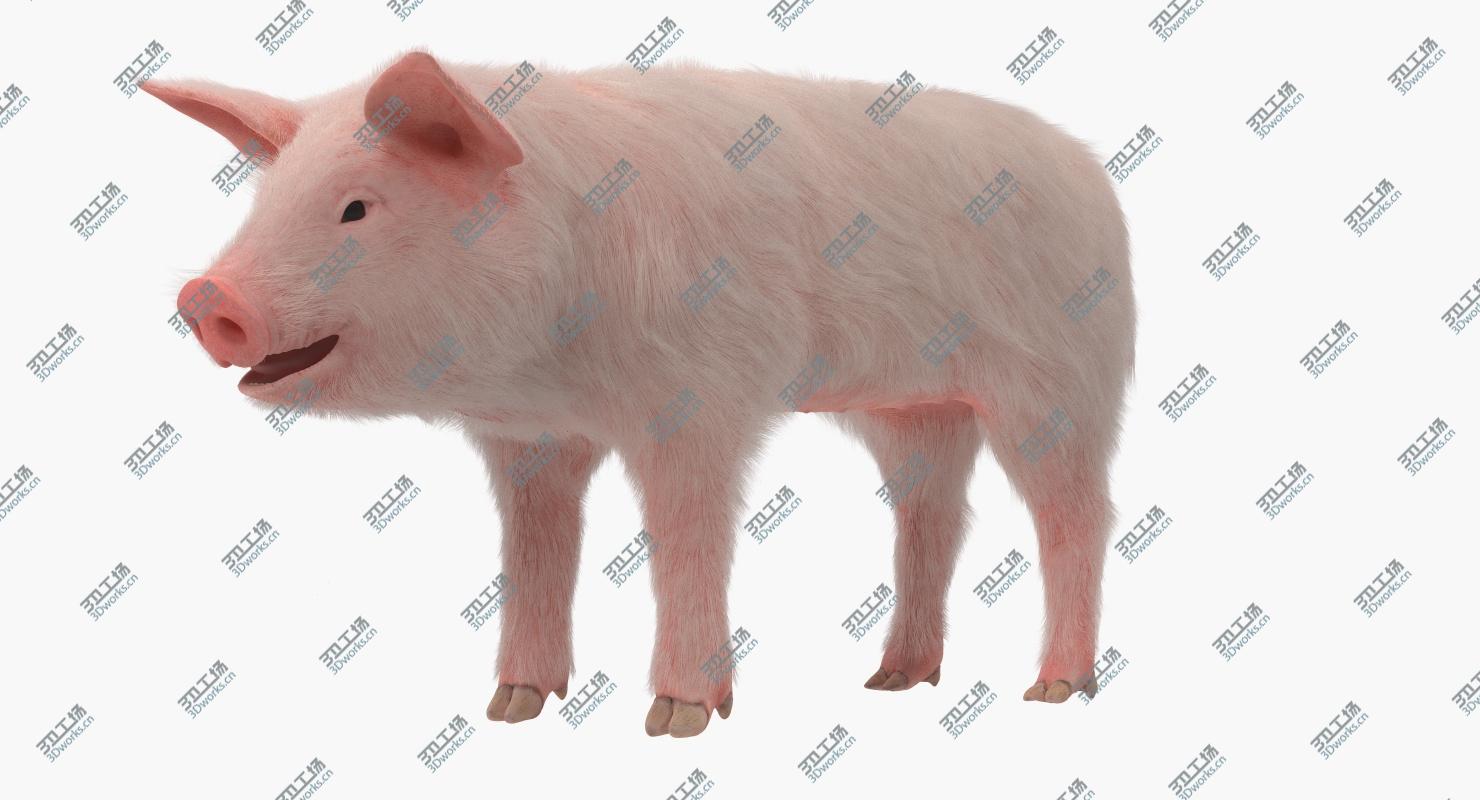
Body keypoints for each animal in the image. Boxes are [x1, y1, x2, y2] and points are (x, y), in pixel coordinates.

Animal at [146, 51, 1134, 738]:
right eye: (263, 202)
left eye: (357, 207)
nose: (206, 298)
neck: (547, 360)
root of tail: (1091, 171)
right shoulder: (532, 438)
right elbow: (539, 550)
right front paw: (512, 707)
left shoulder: (699, 402)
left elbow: (687, 537)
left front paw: (678, 721)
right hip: (912, 406)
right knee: (933, 514)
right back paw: (892, 680)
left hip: (1061, 380)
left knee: (1079, 515)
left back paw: (1052, 690)